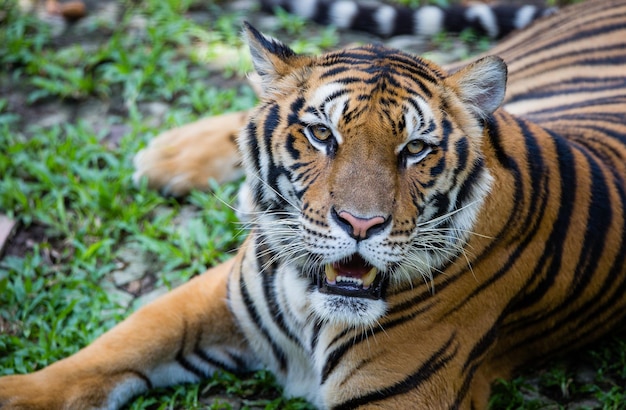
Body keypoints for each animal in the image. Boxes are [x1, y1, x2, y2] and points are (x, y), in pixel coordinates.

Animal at [1, 0, 624, 408]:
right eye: (323, 134)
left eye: (415, 149)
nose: (360, 224)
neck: (309, 305)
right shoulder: (216, 297)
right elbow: (112, 346)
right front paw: (18, 391)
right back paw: (166, 154)